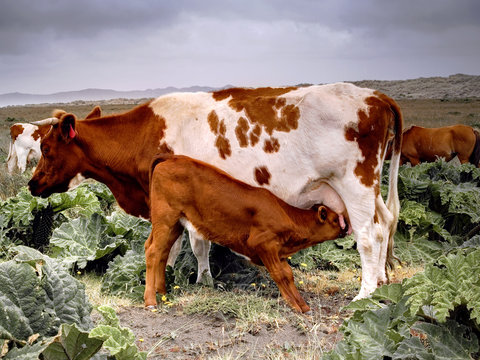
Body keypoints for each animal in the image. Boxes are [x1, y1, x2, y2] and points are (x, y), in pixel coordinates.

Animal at [144, 155, 346, 312]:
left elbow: (288, 275)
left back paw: (162, 292)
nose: (346, 226)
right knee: (153, 251)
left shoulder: (279, 251)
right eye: (335, 219)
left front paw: (303, 305)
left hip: (175, 224)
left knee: (161, 251)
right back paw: (150, 301)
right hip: (165, 218)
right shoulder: (264, 245)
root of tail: (171, 158)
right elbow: (279, 274)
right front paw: (295, 306)